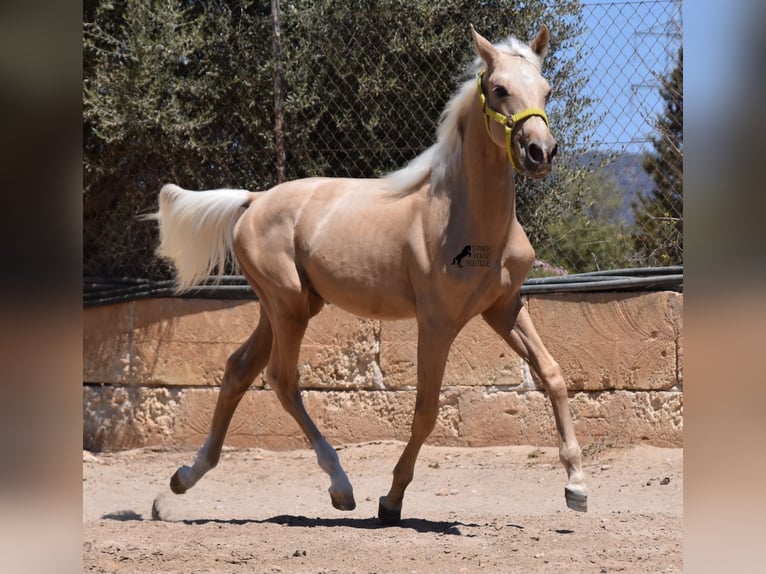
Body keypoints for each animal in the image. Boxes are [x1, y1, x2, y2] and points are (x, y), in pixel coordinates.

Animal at [152, 24, 592, 524]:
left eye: (547, 90)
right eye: (499, 89)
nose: (541, 152)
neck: (467, 220)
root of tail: (254, 198)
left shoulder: (503, 308)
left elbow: (552, 374)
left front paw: (576, 485)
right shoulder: (437, 323)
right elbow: (426, 410)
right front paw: (391, 498)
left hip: (285, 306)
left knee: (238, 371)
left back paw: (183, 479)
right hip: (288, 308)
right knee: (282, 379)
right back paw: (341, 488)